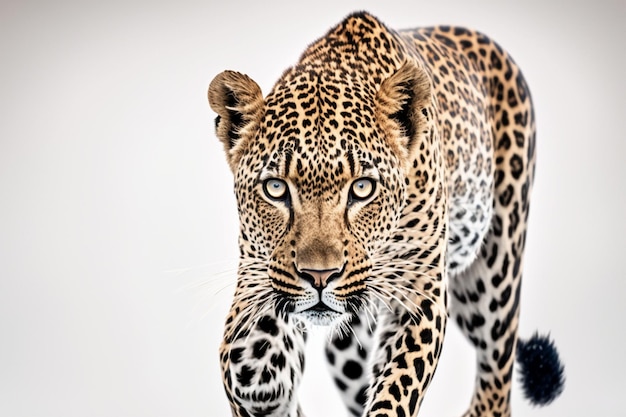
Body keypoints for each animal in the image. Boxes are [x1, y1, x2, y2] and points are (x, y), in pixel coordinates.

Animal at [207, 11, 564, 414]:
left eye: (362, 188)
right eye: (275, 188)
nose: (319, 276)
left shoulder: (421, 293)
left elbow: (399, 385)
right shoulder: (257, 272)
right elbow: (244, 350)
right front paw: (264, 380)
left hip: (494, 274)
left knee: (496, 375)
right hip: (348, 348)